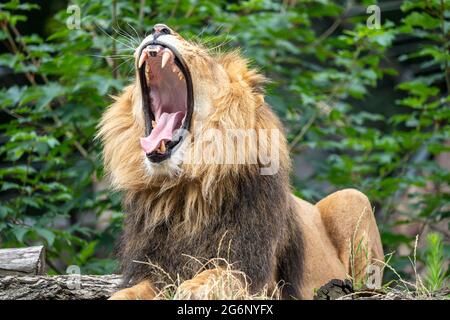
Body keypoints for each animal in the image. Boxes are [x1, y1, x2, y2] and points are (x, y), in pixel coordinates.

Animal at [97, 23, 384, 300]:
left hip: (352, 198)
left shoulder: (259, 275)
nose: (158, 29)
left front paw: (195, 286)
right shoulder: (153, 269)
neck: (185, 190)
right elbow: (127, 293)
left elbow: (221, 273)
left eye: (204, 55)